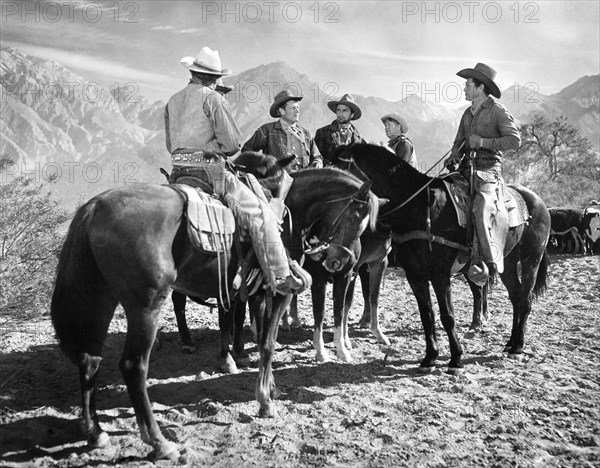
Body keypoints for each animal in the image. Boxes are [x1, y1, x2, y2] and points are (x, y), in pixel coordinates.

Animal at [50, 154, 380, 460]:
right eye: (357, 215)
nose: (341, 260)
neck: (286, 212)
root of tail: (96, 206)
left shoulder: (258, 293)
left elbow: (261, 338)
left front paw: (269, 387)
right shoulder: (278, 292)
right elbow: (268, 343)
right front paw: (265, 401)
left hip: (102, 298)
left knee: (90, 359)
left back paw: (95, 433)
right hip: (145, 305)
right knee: (134, 366)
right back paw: (160, 442)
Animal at [330, 143, 552, 372]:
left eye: (339, 173)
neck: (420, 209)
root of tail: (538, 201)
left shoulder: (440, 276)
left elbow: (447, 316)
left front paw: (456, 359)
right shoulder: (415, 276)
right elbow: (427, 315)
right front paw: (430, 357)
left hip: (530, 259)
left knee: (524, 299)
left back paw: (516, 344)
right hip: (506, 263)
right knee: (515, 297)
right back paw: (510, 342)